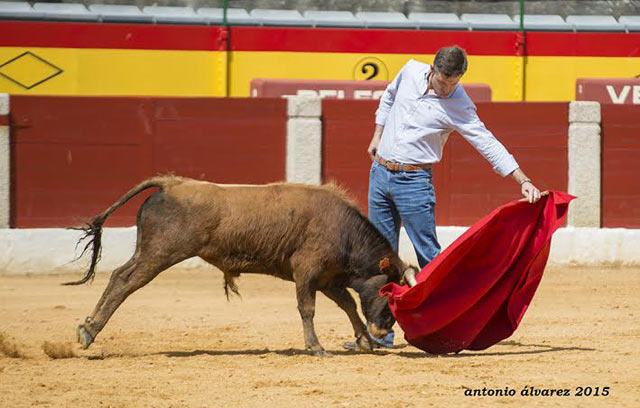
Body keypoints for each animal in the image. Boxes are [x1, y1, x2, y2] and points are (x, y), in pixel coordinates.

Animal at [67, 177, 418, 356]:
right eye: (389, 293)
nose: (383, 330)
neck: (344, 230)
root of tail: (172, 184)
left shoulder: (328, 278)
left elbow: (348, 305)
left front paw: (365, 341)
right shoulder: (307, 272)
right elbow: (308, 308)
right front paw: (316, 347)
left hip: (151, 251)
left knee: (119, 277)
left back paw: (88, 328)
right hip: (159, 253)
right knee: (123, 280)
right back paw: (88, 331)